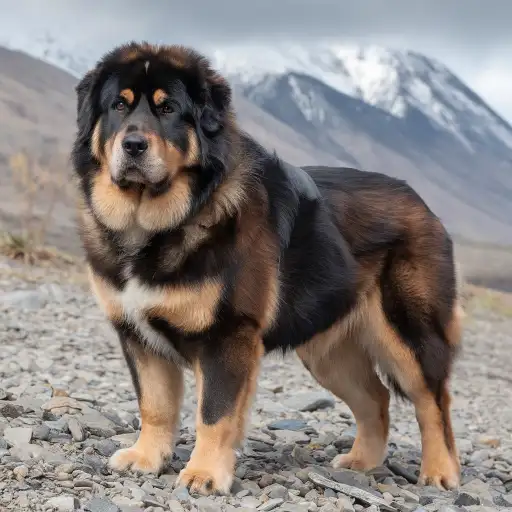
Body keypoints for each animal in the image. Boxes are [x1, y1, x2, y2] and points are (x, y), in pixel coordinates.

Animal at [72, 41, 464, 496]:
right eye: (118, 105)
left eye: (168, 108)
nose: (133, 144)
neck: (156, 226)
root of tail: (424, 206)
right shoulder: (137, 335)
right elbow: (154, 406)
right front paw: (146, 457)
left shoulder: (227, 334)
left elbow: (215, 413)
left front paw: (205, 473)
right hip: (328, 352)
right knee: (376, 399)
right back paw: (361, 462)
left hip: (408, 333)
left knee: (433, 402)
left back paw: (440, 472)